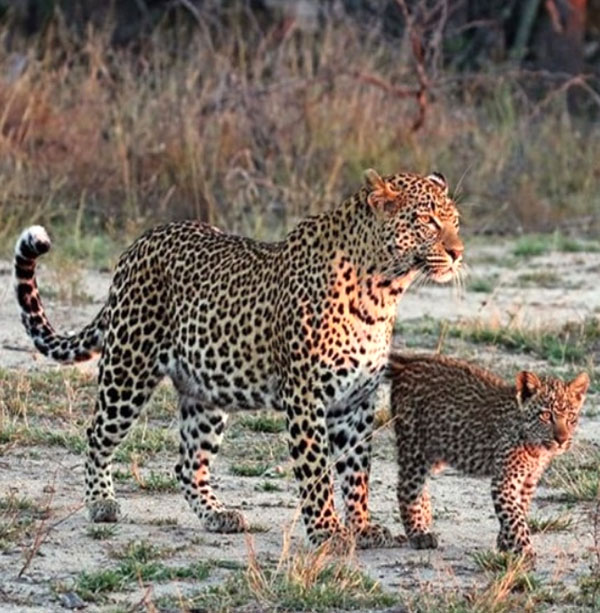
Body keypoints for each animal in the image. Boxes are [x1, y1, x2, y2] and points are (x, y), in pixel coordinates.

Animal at [15, 167, 464, 544]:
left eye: (455, 221)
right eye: (428, 221)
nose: (458, 252)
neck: (383, 290)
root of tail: (138, 244)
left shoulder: (355, 401)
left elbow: (357, 470)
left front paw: (364, 527)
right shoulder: (306, 397)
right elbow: (317, 471)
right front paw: (327, 532)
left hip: (206, 392)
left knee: (188, 464)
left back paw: (218, 515)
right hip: (128, 370)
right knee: (97, 434)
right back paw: (100, 503)